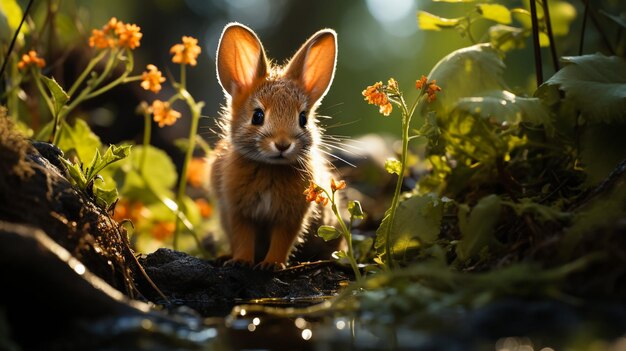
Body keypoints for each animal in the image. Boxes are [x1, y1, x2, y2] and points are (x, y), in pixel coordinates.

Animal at [208, 22, 344, 270]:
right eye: (257, 116)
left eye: (303, 119)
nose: (282, 144)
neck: (269, 167)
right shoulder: (238, 211)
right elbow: (243, 236)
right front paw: (241, 261)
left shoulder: (291, 216)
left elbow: (283, 239)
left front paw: (272, 264)